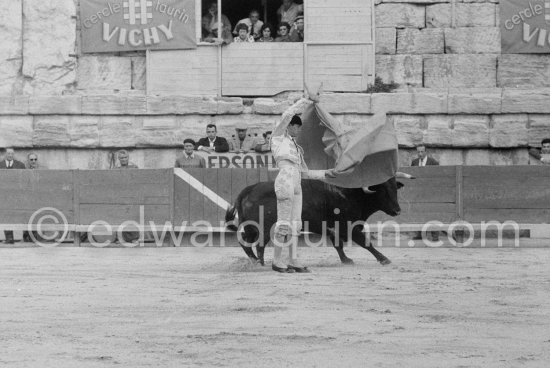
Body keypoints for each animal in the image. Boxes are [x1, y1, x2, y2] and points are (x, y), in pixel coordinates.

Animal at [225, 177, 406, 266]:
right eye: (383, 191)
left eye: (394, 189)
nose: (397, 210)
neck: (352, 195)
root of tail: (249, 189)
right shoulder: (350, 228)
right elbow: (366, 243)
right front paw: (384, 259)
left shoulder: (333, 229)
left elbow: (338, 246)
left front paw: (346, 260)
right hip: (264, 227)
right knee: (260, 244)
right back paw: (261, 263)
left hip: (250, 227)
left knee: (245, 241)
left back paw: (255, 261)